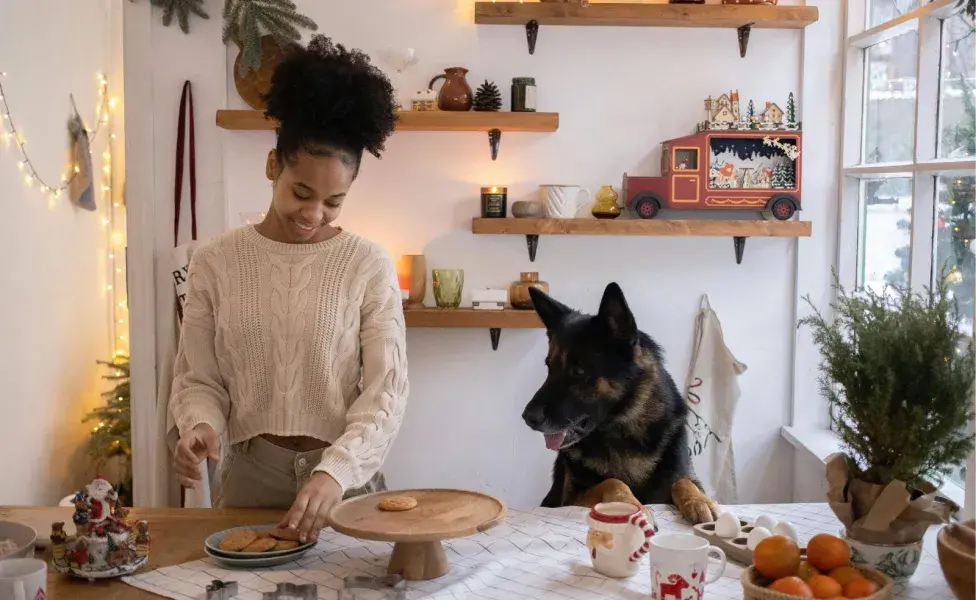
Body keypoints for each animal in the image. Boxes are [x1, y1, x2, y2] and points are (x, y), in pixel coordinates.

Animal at [524, 284, 720, 524]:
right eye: (549, 368)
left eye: (578, 371)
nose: (527, 417)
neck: (625, 428)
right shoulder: (570, 497)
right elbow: (612, 482)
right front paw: (629, 506)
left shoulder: (680, 476)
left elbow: (683, 481)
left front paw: (699, 500)